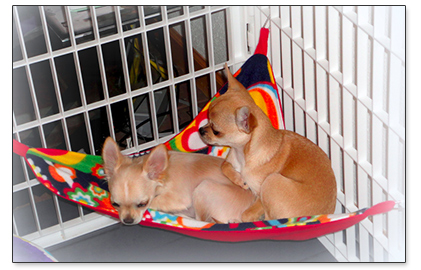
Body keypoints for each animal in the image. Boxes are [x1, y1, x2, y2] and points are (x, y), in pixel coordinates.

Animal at [101, 136, 254, 225]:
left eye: (142, 204)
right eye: (115, 204)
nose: (127, 221)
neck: (164, 172)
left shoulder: (178, 198)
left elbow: (155, 201)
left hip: (204, 187)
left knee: (201, 220)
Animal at [199, 64, 336, 220]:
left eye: (216, 131)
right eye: (207, 120)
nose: (200, 130)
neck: (242, 154)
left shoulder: (259, 194)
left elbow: (247, 214)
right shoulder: (230, 161)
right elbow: (224, 166)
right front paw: (239, 179)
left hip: (272, 181)